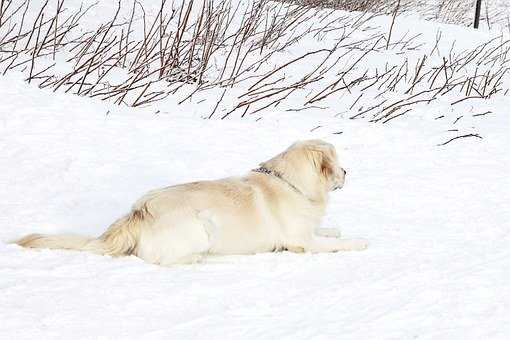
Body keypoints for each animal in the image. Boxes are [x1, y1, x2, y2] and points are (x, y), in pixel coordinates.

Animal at [13, 139, 366, 264]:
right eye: (337, 163)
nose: (348, 171)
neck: (291, 183)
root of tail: (137, 212)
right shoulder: (302, 242)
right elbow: (335, 243)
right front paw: (358, 241)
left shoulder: (308, 230)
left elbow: (327, 231)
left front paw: (335, 228)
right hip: (202, 226)